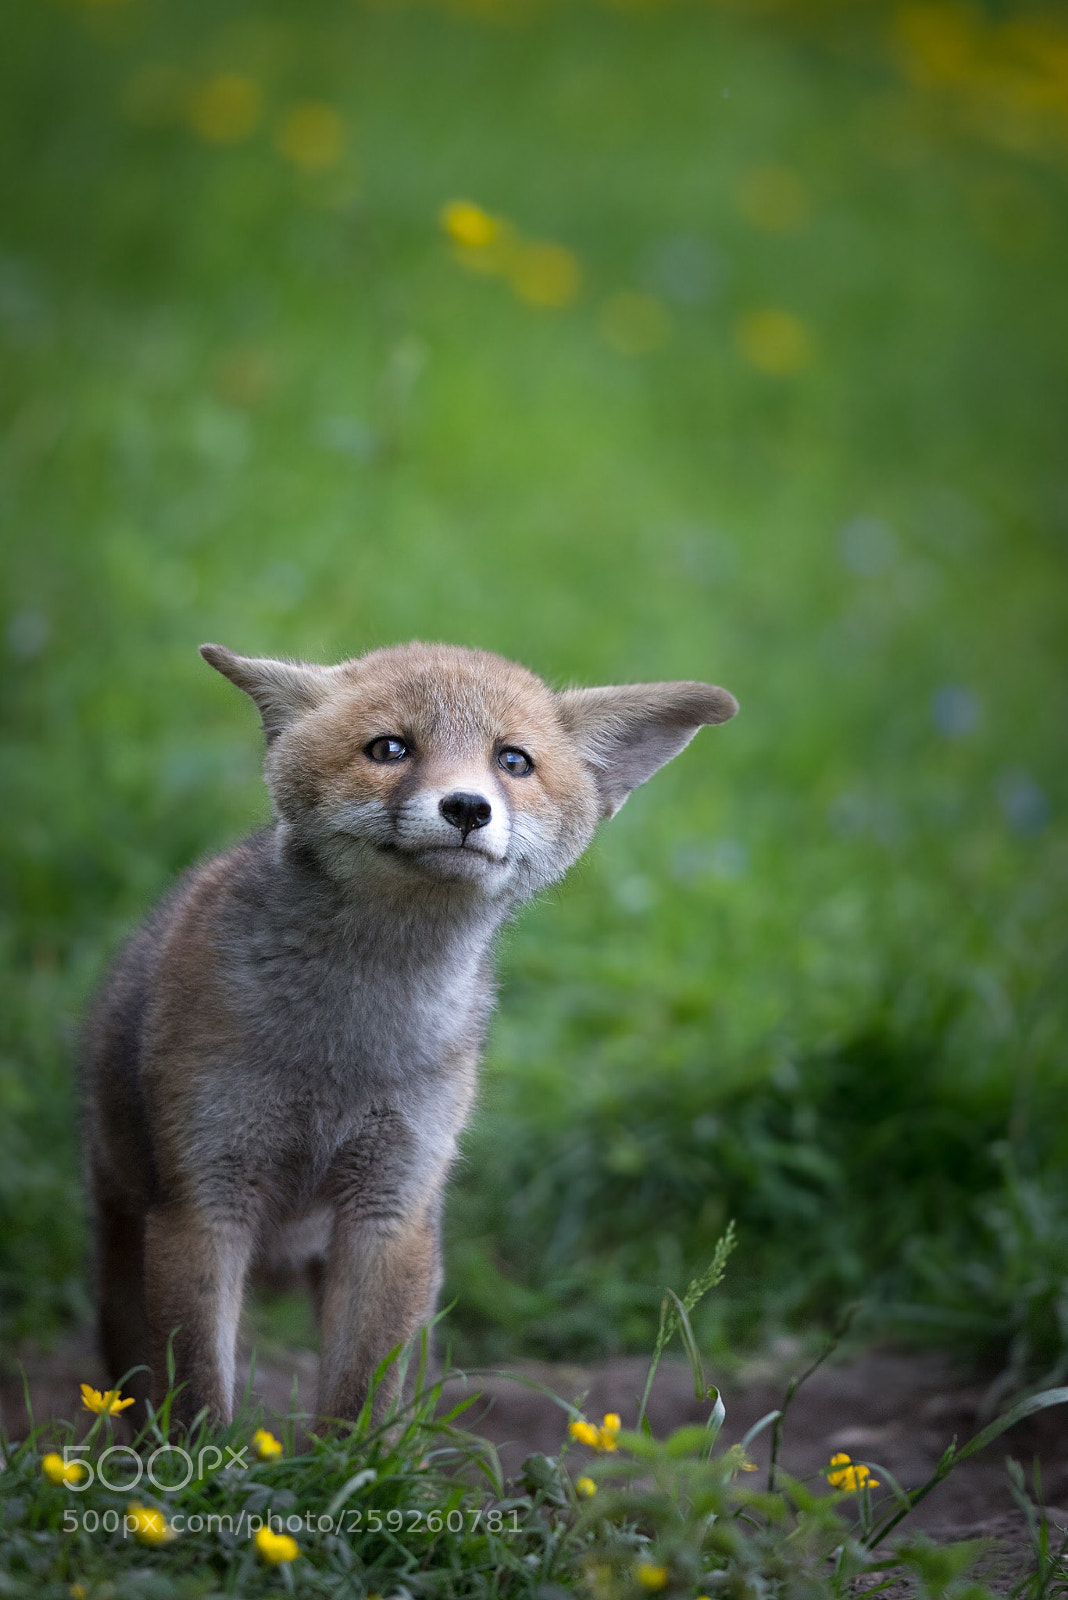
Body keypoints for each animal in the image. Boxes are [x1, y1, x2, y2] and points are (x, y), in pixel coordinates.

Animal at [81, 641, 737, 1426]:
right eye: (389, 749)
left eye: (513, 761)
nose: (467, 807)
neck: (341, 1050)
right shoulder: (204, 1199)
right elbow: (201, 1396)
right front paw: (205, 1462)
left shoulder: (393, 1203)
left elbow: (358, 1398)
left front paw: (343, 1463)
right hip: (126, 1242)